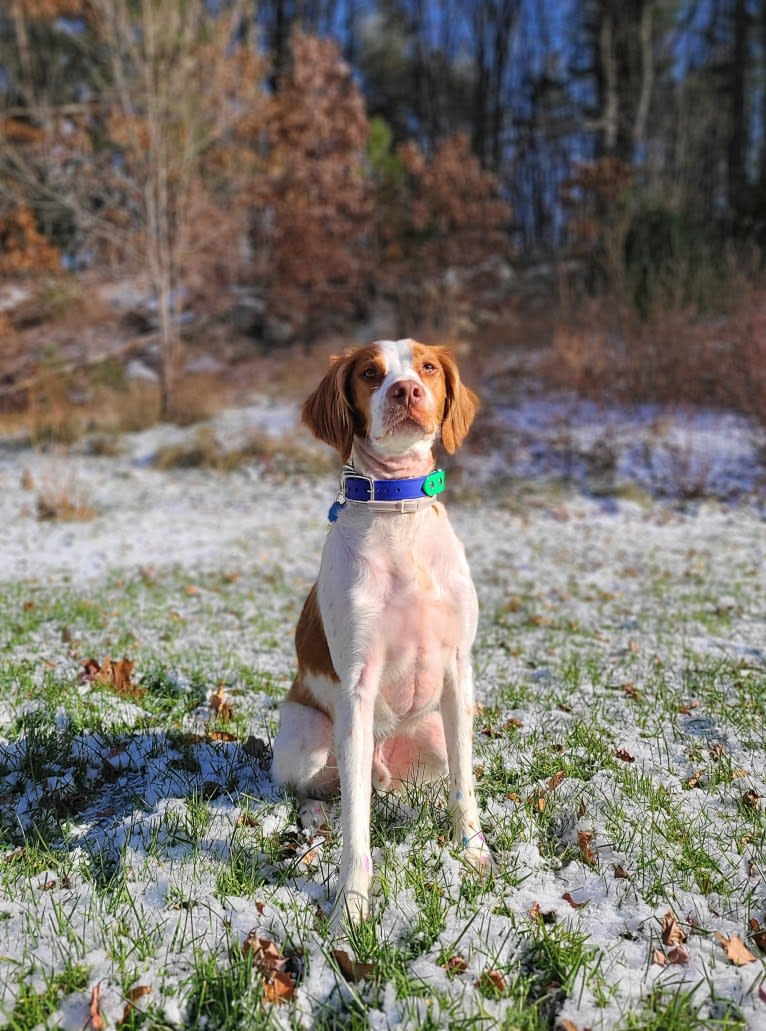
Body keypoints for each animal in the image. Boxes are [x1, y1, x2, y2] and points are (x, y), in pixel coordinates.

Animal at [272, 340, 494, 936]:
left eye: (428, 368)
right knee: (319, 789)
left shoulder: (458, 671)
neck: (399, 515)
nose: (406, 391)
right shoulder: (357, 687)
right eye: (370, 373)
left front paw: (474, 854)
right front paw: (350, 908)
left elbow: (465, 790)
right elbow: (356, 828)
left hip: (433, 737)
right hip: (306, 740)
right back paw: (315, 815)